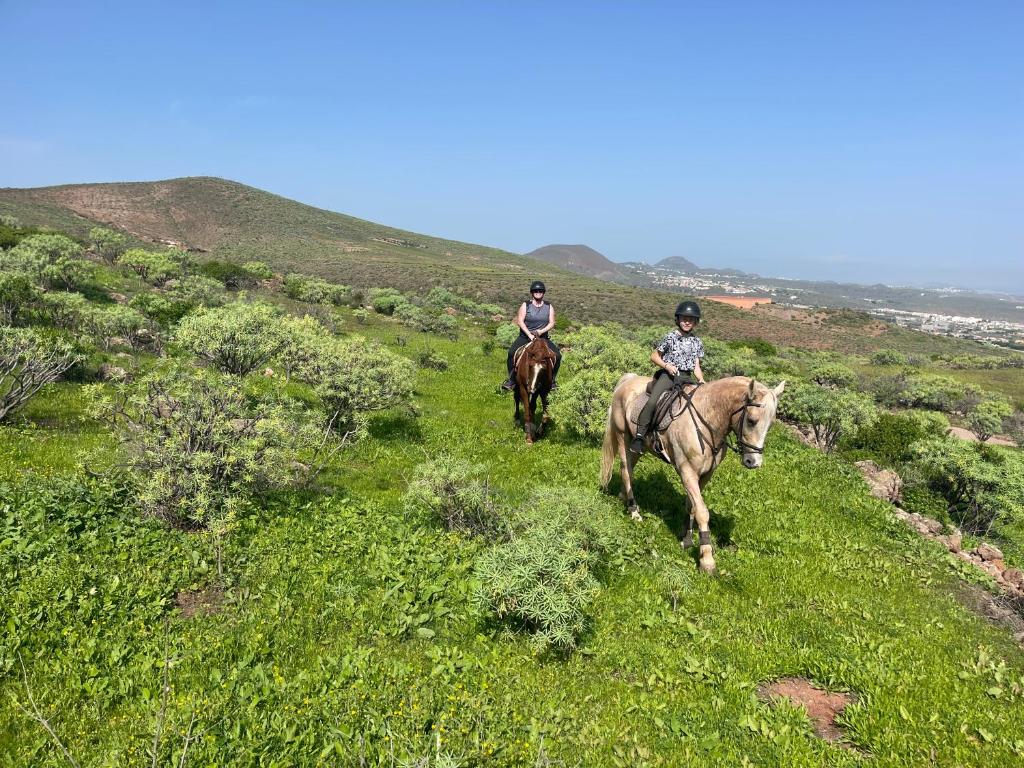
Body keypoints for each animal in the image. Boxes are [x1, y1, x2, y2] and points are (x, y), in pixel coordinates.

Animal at [598, 376, 782, 573]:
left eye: (770, 424)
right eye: (752, 420)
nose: (753, 462)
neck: (707, 421)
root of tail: (628, 379)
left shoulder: (705, 475)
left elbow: (692, 506)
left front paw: (686, 539)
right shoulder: (687, 472)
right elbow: (702, 511)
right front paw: (707, 560)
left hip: (639, 447)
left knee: (629, 470)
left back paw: (623, 497)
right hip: (622, 437)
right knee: (626, 471)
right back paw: (634, 511)